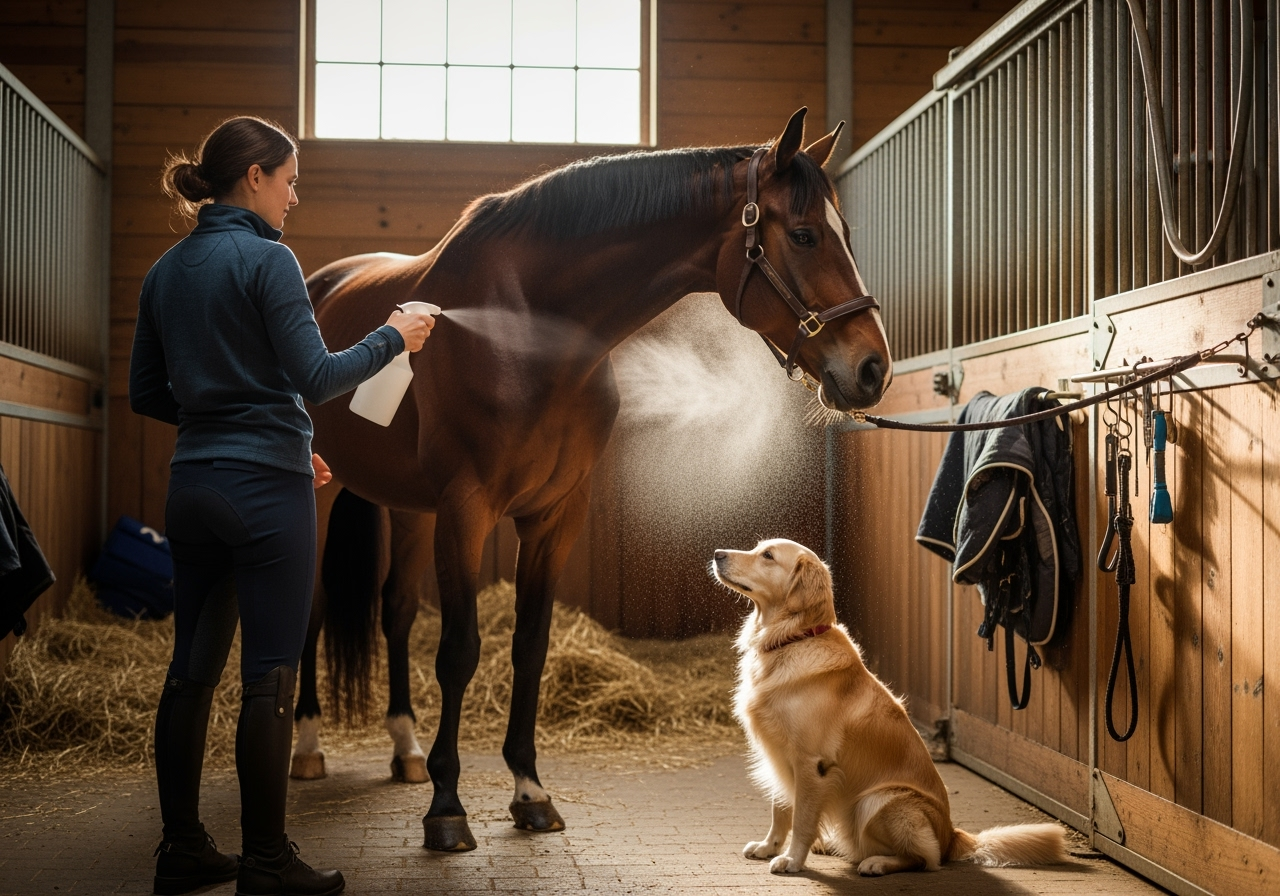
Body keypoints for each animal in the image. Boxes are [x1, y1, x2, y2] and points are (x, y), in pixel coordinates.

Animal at [288, 108, 893, 852]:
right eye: (805, 235)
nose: (872, 367)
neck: (528, 330)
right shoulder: (467, 509)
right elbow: (460, 651)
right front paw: (447, 808)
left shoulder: (554, 515)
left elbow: (529, 646)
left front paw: (529, 792)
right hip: (323, 494)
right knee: (311, 610)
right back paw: (307, 746)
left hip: (408, 510)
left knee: (395, 609)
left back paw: (403, 749)